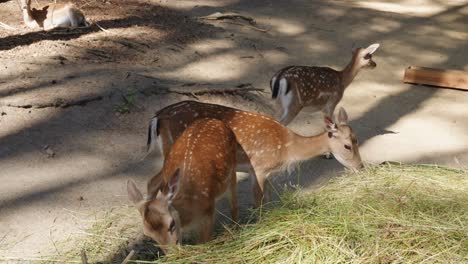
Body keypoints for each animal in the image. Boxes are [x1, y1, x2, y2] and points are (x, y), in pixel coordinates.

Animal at [127, 117, 238, 252]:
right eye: (148, 234)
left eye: (172, 224)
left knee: (234, 204)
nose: (172, 253)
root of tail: (214, 120)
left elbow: (204, 243)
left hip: (233, 169)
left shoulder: (208, 214)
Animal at [146, 100, 362, 207]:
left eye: (357, 139)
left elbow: (267, 199)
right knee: (158, 183)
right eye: (347, 146)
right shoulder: (259, 167)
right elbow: (258, 201)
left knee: (154, 182)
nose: (360, 166)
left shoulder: (261, 172)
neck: (288, 148)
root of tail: (157, 117)